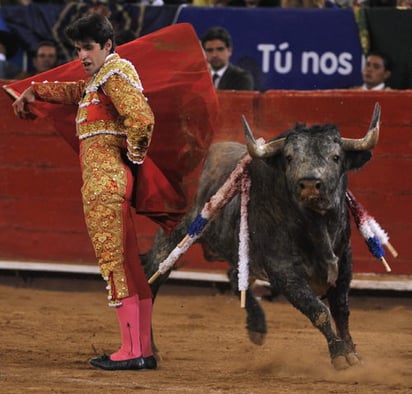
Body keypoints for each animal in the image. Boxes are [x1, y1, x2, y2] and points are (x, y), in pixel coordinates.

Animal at [143, 102, 382, 370]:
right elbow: (318, 309)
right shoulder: (283, 270)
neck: (316, 226)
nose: (310, 184)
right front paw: (340, 354)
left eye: (336, 157)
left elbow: (341, 309)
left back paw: (257, 327)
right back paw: (151, 350)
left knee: (235, 276)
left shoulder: (344, 261)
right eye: (289, 158)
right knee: (152, 280)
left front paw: (352, 352)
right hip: (171, 240)